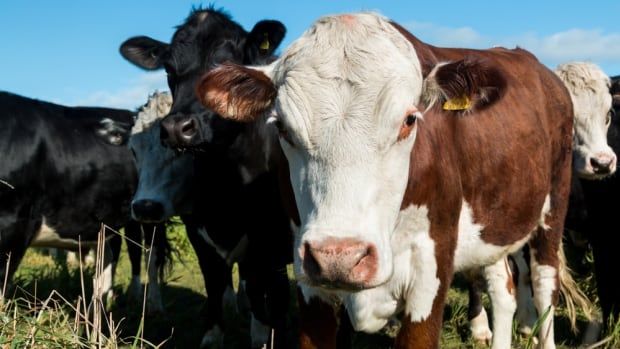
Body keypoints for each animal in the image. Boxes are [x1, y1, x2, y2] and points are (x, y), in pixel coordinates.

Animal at [121, 8, 294, 348]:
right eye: (169, 69)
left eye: (230, 67)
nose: (178, 128)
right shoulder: (198, 232)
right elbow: (214, 282)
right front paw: (213, 335)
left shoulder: (267, 238)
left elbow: (260, 288)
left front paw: (260, 335)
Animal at [196, 12, 572, 346]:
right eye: (282, 127)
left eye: (409, 120)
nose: (339, 257)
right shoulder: (311, 285)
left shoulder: (429, 278)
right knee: (503, 289)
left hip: (553, 209)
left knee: (543, 285)